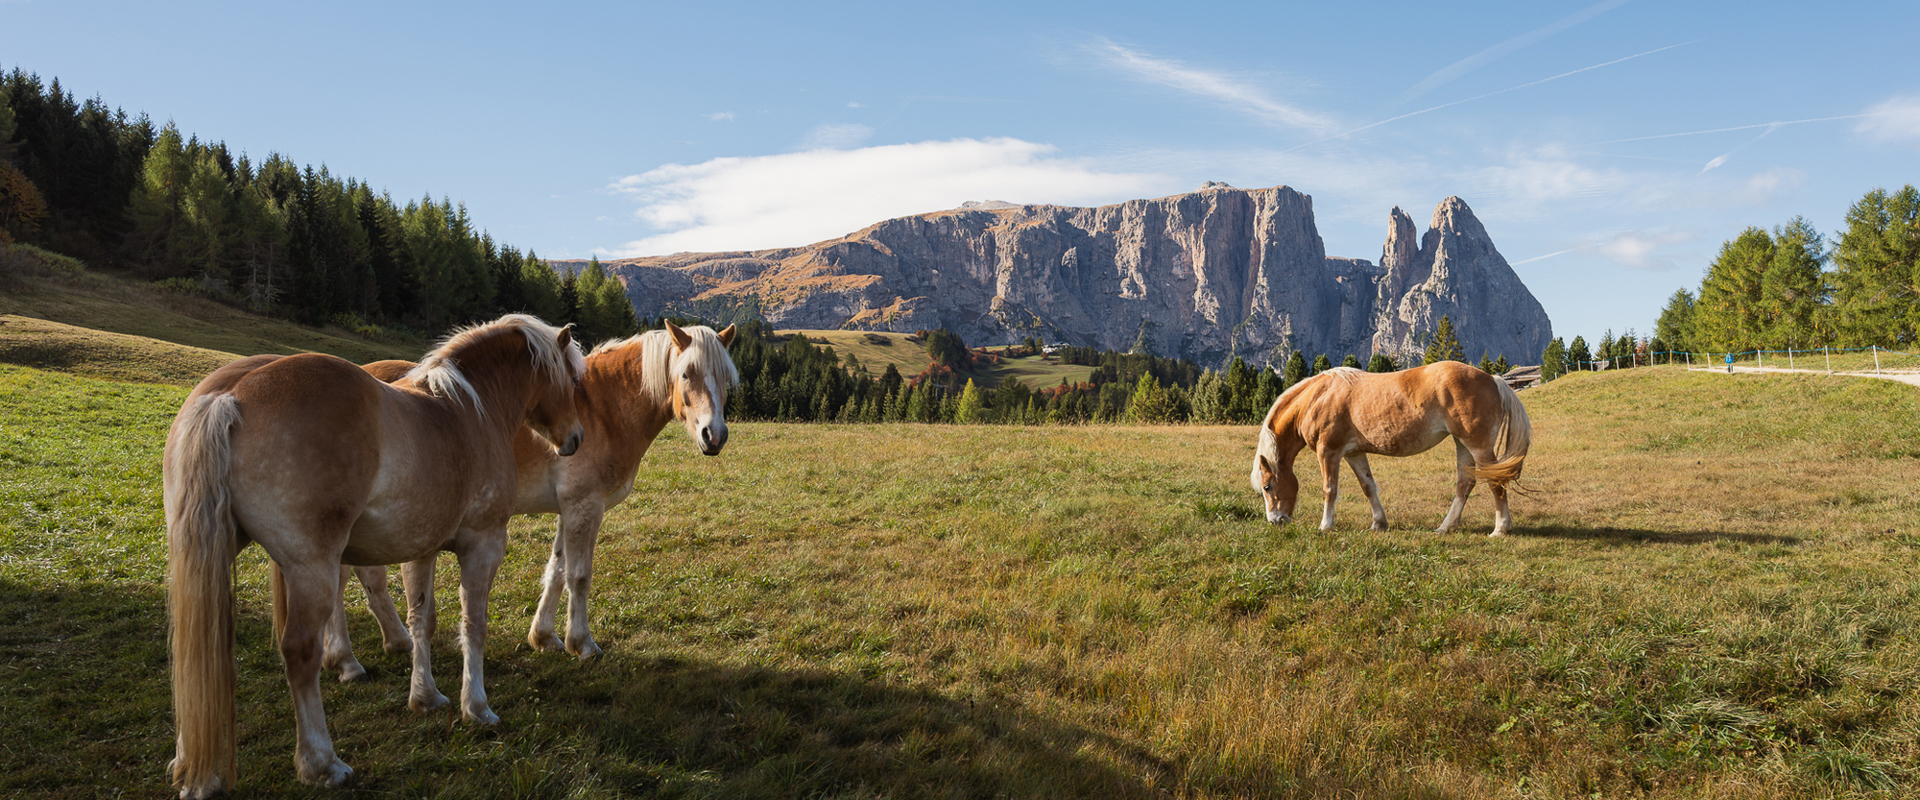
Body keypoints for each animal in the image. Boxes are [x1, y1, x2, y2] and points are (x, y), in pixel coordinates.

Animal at [164, 314, 586, 798]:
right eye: (575, 380)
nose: (576, 439)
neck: (469, 410)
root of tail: (231, 395)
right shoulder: (483, 545)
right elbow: (473, 626)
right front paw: (476, 708)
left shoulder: (421, 549)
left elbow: (423, 621)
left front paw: (425, 696)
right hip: (311, 568)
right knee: (299, 653)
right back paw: (322, 762)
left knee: (198, 649)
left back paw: (195, 771)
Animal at [318, 321, 738, 680]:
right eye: (686, 374)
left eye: (724, 378)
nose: (714, 435)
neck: (603, 409)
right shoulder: (584, 506)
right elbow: (578, 575)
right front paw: (582, 644)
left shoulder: (568, 510)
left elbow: (556, 571)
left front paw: (545, 636)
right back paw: (347, 661)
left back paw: (392, 642)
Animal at [1249, 360, 1531, 536]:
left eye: (1267, 486)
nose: (1275, 520)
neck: (1317, 397)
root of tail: (1492, 379)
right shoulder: (1353, 453)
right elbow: (1368, 486)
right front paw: (1378, 523)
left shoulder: (1328, 451)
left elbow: (1330, 489)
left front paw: (1326, 526)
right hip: (1462, 445)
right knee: (1465, 484)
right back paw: (1446, 527)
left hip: (1478, 446)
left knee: (1495, 481)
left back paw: (1500, 528)